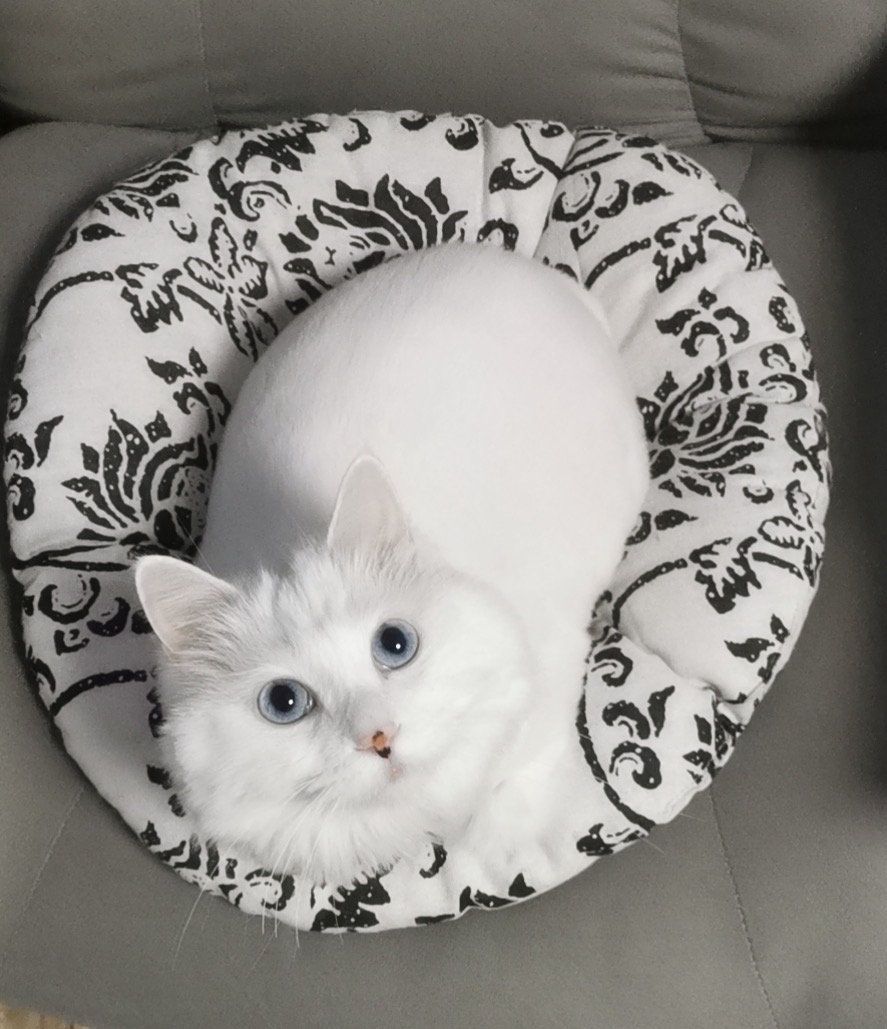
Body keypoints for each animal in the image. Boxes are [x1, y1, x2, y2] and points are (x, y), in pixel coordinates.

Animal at [135, 240, 650, 884]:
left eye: (395, 644)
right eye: (284, 703)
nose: (379, 737)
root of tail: (539, 274)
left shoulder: (554, 654)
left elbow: (521, 772)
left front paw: (498, 847)